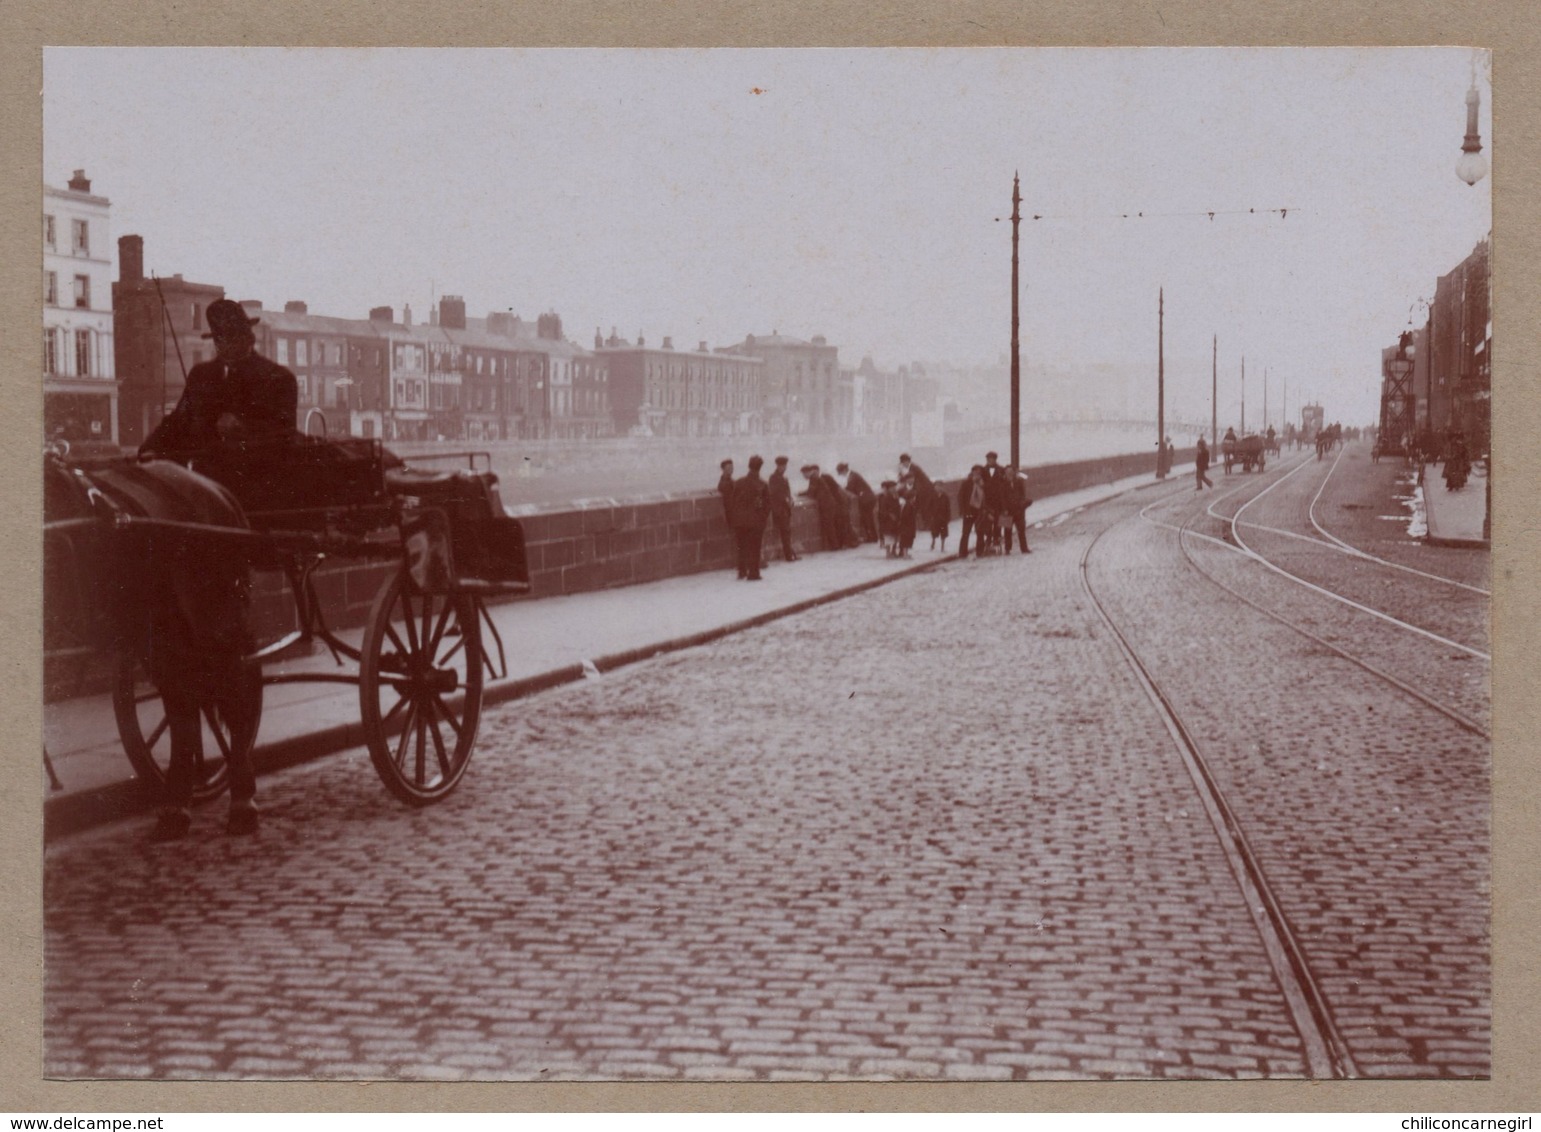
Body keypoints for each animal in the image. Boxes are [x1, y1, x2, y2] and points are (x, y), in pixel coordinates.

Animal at [43, 452, 258, 843]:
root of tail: (214, 488)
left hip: (213, 620)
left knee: (233, 699)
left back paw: (241, 803)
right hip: (164, 637)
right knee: (184, 707)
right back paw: (176, 807)